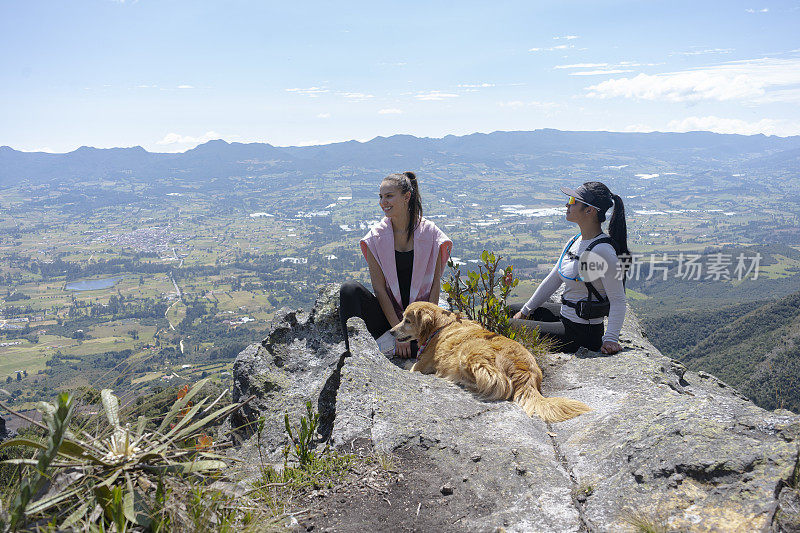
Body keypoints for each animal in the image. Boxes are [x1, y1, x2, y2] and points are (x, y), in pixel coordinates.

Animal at [390, 302, 592, 422]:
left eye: (407, 321)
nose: (391, 332)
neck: (441, 327)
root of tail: (525, 371)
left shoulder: (420, 366)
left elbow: (410, 366)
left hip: (469, 354)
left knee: (499, 385)